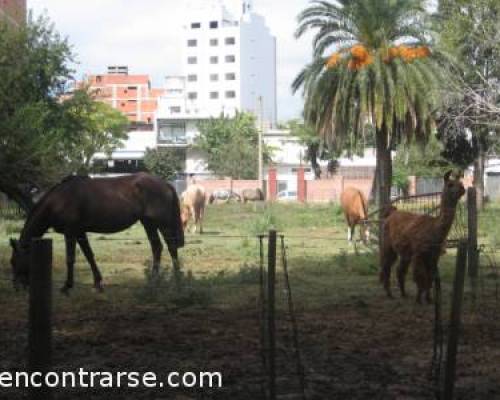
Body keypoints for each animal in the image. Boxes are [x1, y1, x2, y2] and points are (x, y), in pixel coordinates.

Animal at [9, 173, 185, 292]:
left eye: (13, 261)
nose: (17, 286)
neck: (59, 200)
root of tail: (165, 184)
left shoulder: (70, 232)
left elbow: (70, 258)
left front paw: (67, 286)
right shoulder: (80, 232)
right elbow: (89, 255)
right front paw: (97, 283)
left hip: (162, 223)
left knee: (171, 247)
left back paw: (177, 279)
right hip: (148, 223)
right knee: (157, 247)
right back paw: (154, 280)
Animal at [382, 170, 464, 304]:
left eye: (461, 183)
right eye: (450, 184)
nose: (463, 189)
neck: (434, 229)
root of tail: (392, 213)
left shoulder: (434, 256)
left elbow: (431, 277)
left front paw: (429, 299)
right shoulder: (419, 254)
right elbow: (420, 277)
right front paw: (419, 299)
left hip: (406, 251)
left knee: (400, 270)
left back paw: (403, 294)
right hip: (388, 245)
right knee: (386, 266)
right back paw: (389, 294)